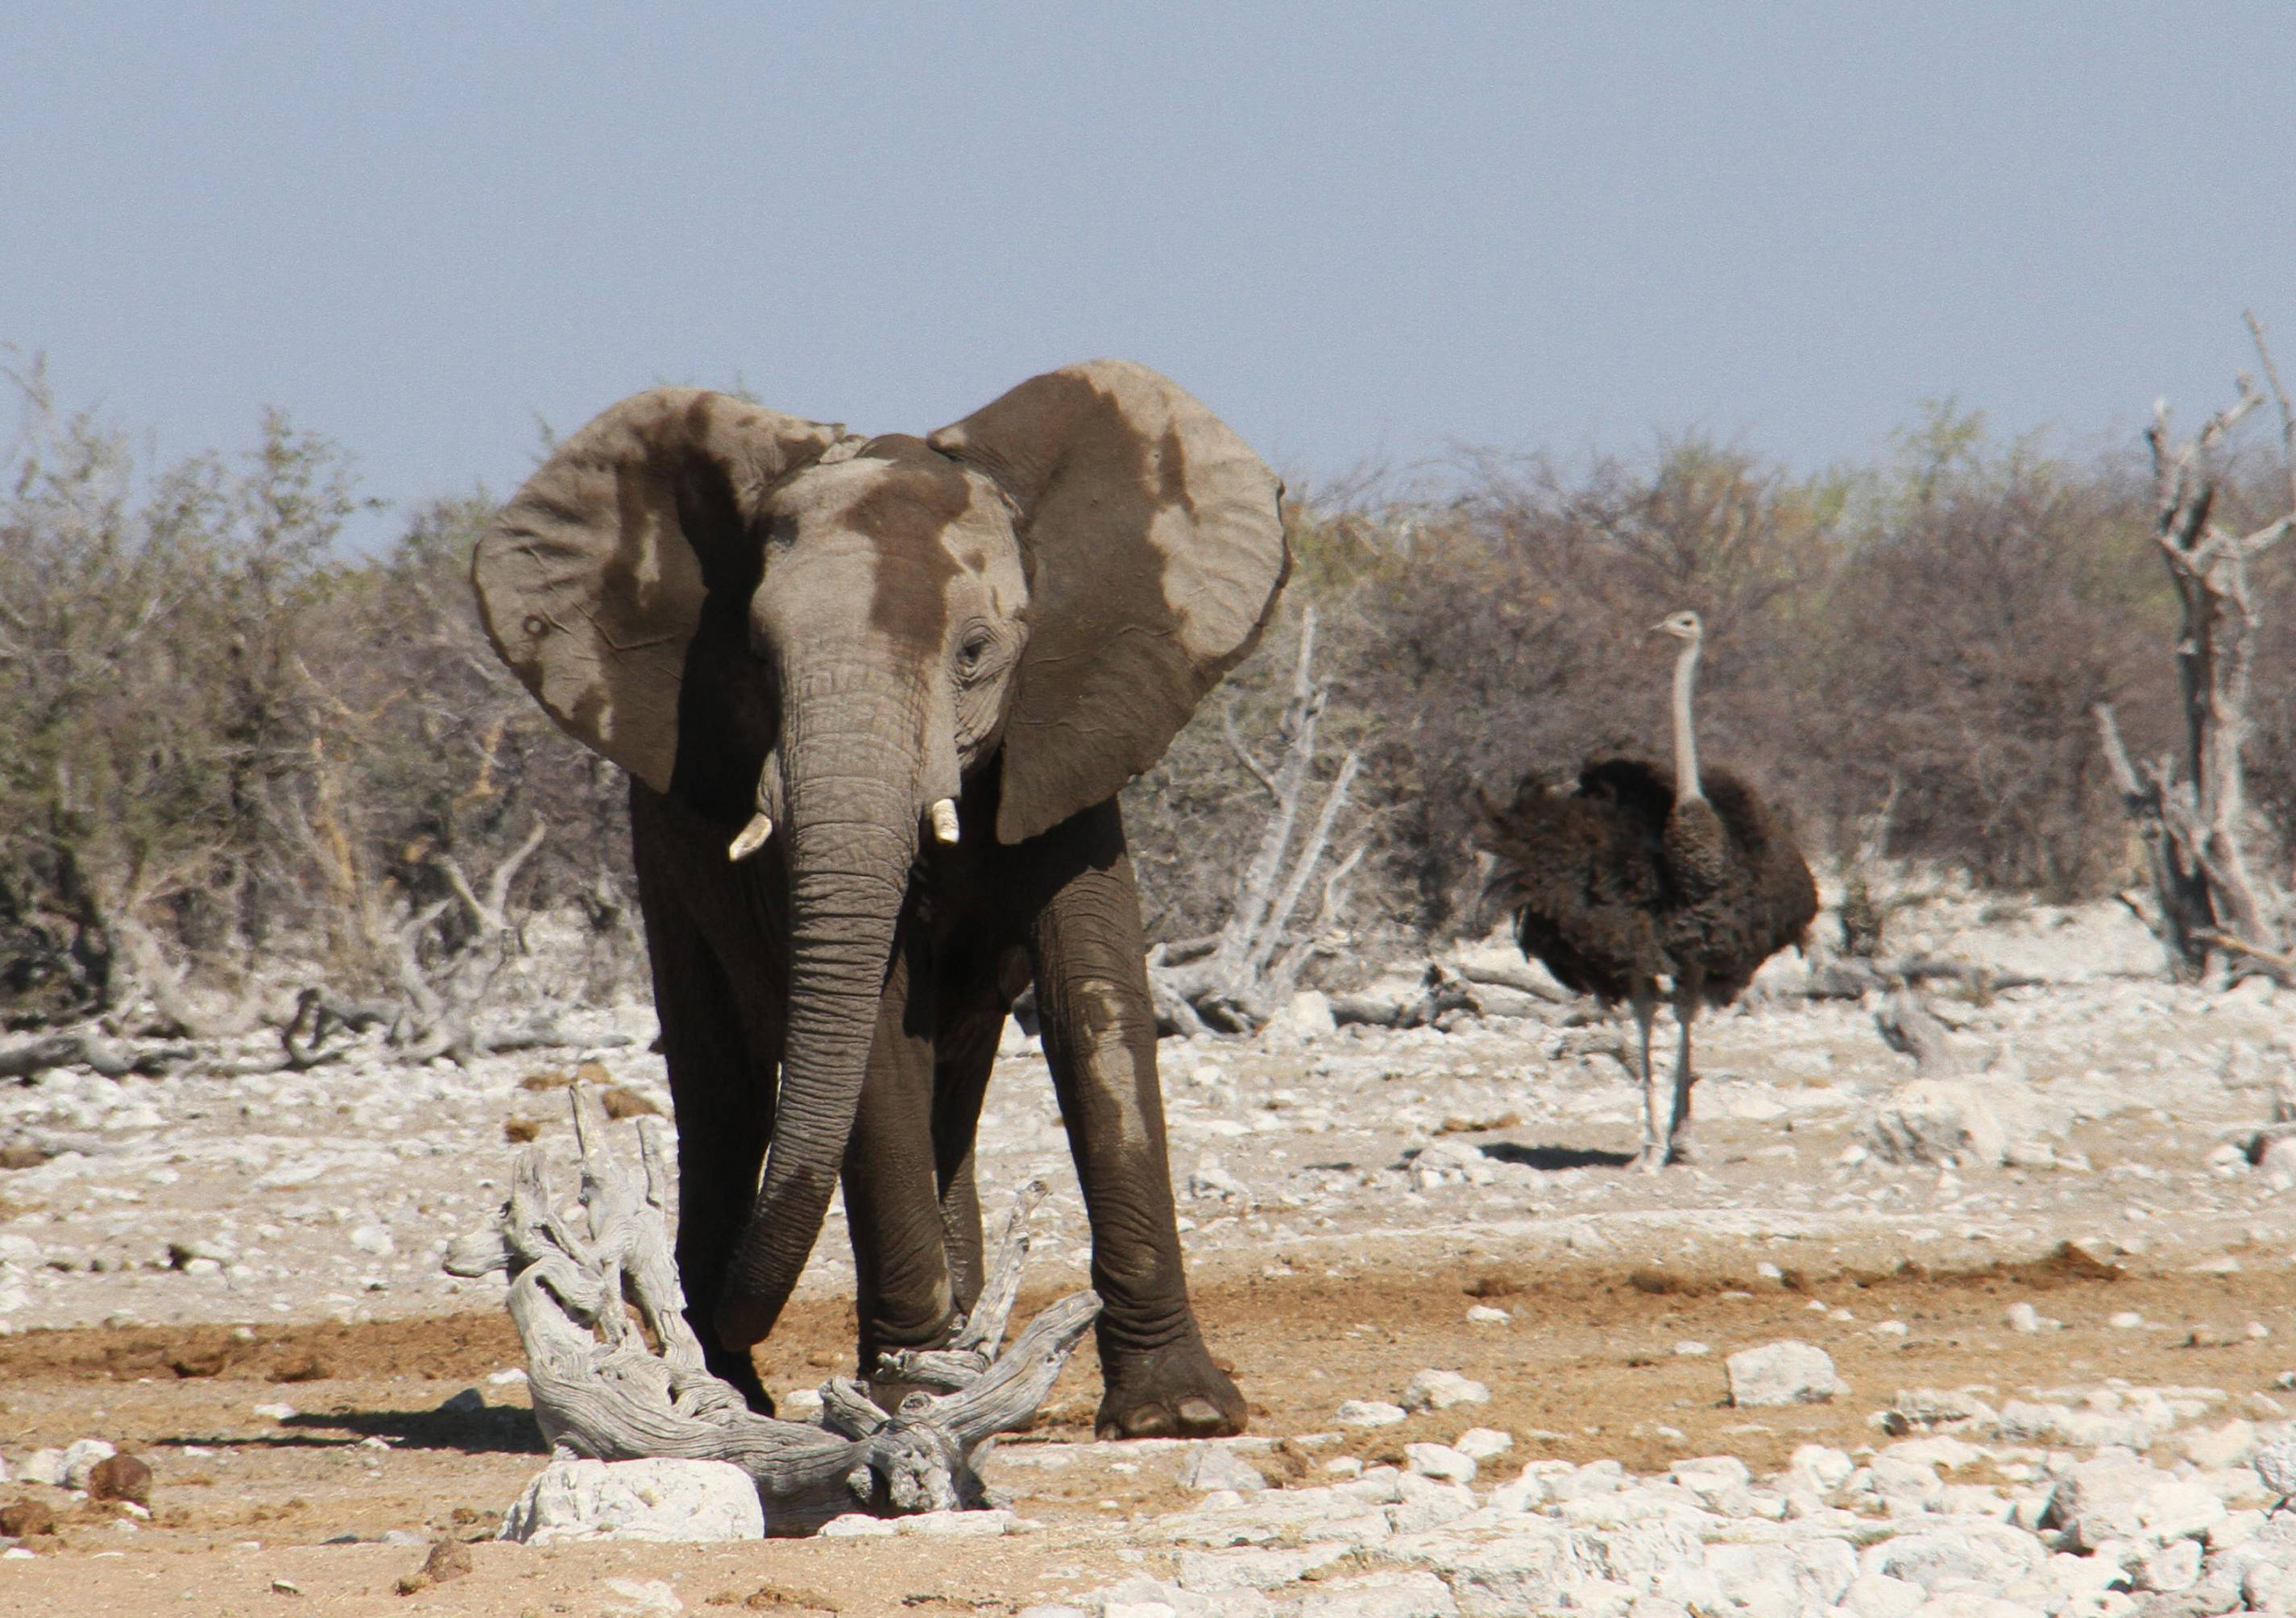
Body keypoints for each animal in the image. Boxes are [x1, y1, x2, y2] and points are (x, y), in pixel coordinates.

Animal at [473, 360, 1286, 1432]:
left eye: (975, 651)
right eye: (757, 658)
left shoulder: (1071, 738)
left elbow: (1097, 1013)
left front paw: (1178, 1413)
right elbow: (873, 1042)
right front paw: (907, 1395)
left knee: (951, 1072)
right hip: (663, 859)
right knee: (725, 1085)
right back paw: (743, 1392)